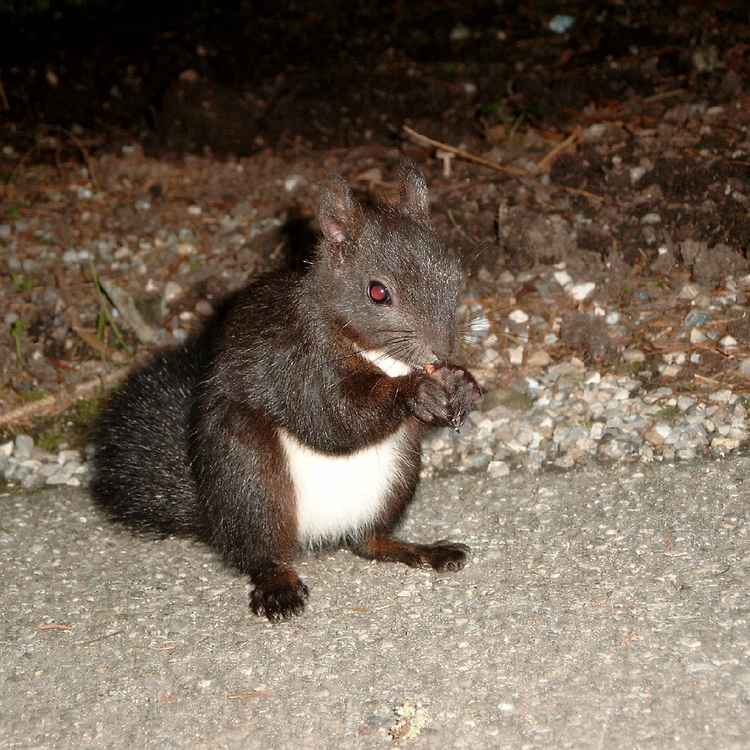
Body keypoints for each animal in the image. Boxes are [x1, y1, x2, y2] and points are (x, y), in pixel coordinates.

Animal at [91, 162, 482, 621]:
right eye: (378, 292)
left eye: (456, 273)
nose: (444, 348)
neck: (377, 353)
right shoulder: (292, 362)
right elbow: (332, 418)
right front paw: (416, 392)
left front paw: (464, 384)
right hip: (249, 476)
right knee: (264, 552)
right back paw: (278, 586)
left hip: (399, 476)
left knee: (367, 542)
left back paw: (422, 551)